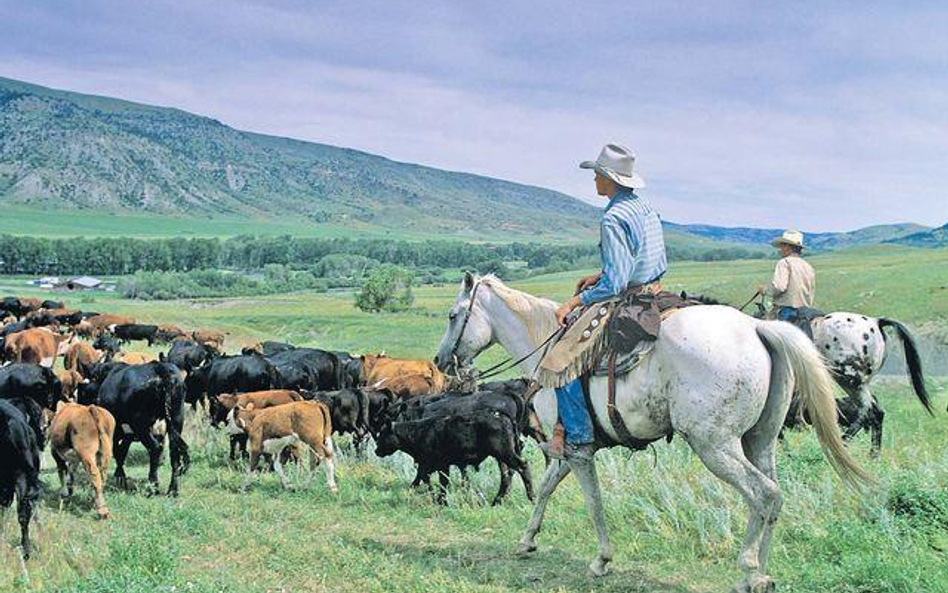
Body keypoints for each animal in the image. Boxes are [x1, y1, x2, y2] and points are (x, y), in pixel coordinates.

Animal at [97, 360, 192, 494]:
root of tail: (160, 367)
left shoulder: (116, 432)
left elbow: (118, 452)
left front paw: (120, 477)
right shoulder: (128, 434)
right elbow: (122, 451)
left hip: (141, 426)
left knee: (155, 448)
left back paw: (153, 487)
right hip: (176, 419)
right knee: (174, 452)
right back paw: (172, 490)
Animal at [434, 276, 872, 592]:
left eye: (454, 315)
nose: (441, 360)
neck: (544, 347)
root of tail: (757, 327)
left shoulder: (578, 450)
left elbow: (593, 502)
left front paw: (601, 560)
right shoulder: (569, 448)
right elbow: (544, 488)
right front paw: (527, 540)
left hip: (715, 445)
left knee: (763, 493)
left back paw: (749, 571)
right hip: (760, 440)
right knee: (774, 496)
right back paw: (761, 571)